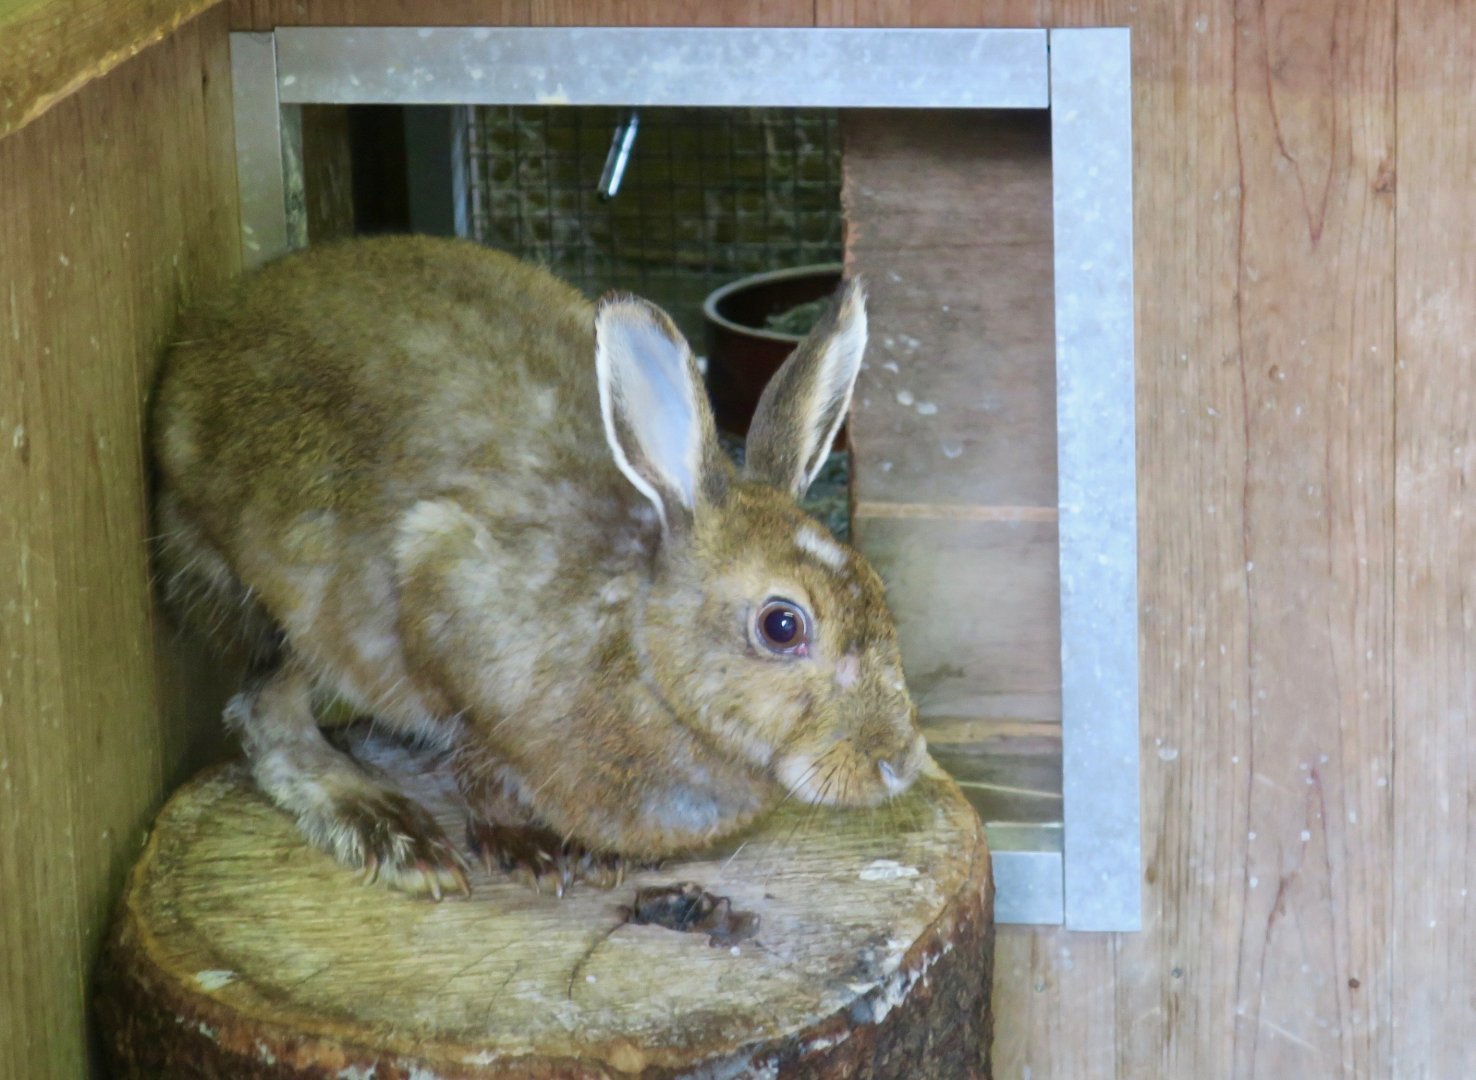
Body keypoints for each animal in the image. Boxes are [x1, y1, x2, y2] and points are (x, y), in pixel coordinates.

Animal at [150, 235, 927, 899]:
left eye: (877, 590)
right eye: (781, 626)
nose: (898, 763)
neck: (641, 652)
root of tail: (190, 355)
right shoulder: (443, 605)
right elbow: (478, 762)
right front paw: (528, 846)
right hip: (282, 610)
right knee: (266, 713)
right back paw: (390, 830)